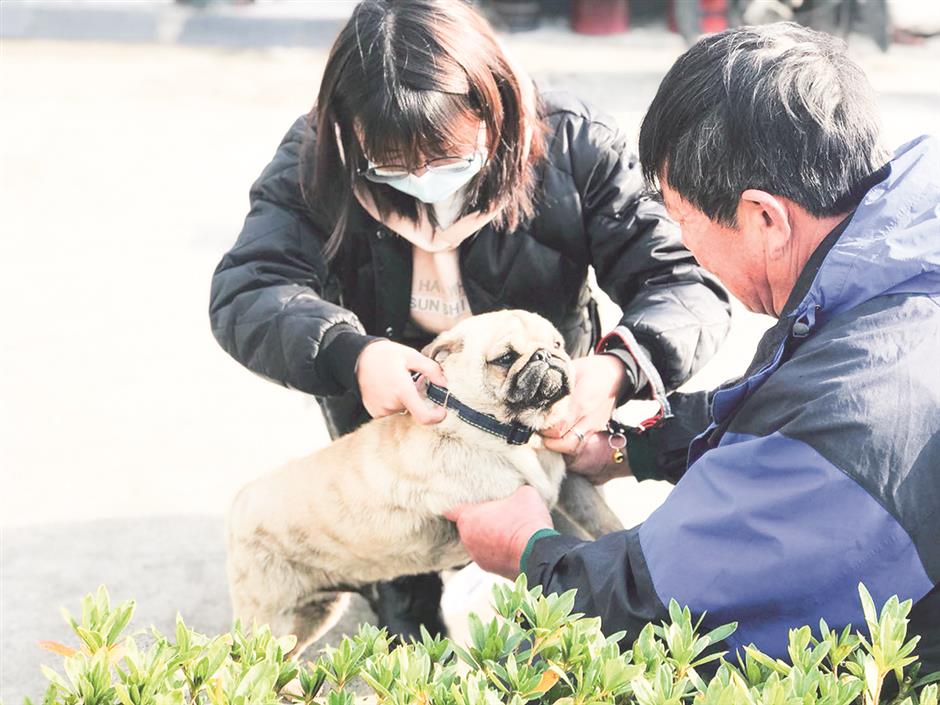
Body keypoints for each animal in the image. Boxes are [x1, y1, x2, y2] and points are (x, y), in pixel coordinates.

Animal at [227, 308, 620, 656]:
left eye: (557, 344)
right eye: (505, 358)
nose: (546, 355)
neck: (507, 431)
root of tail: (239, 501)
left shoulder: (572, 488)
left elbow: (604, 520)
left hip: (315, 613)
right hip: (269, 617)